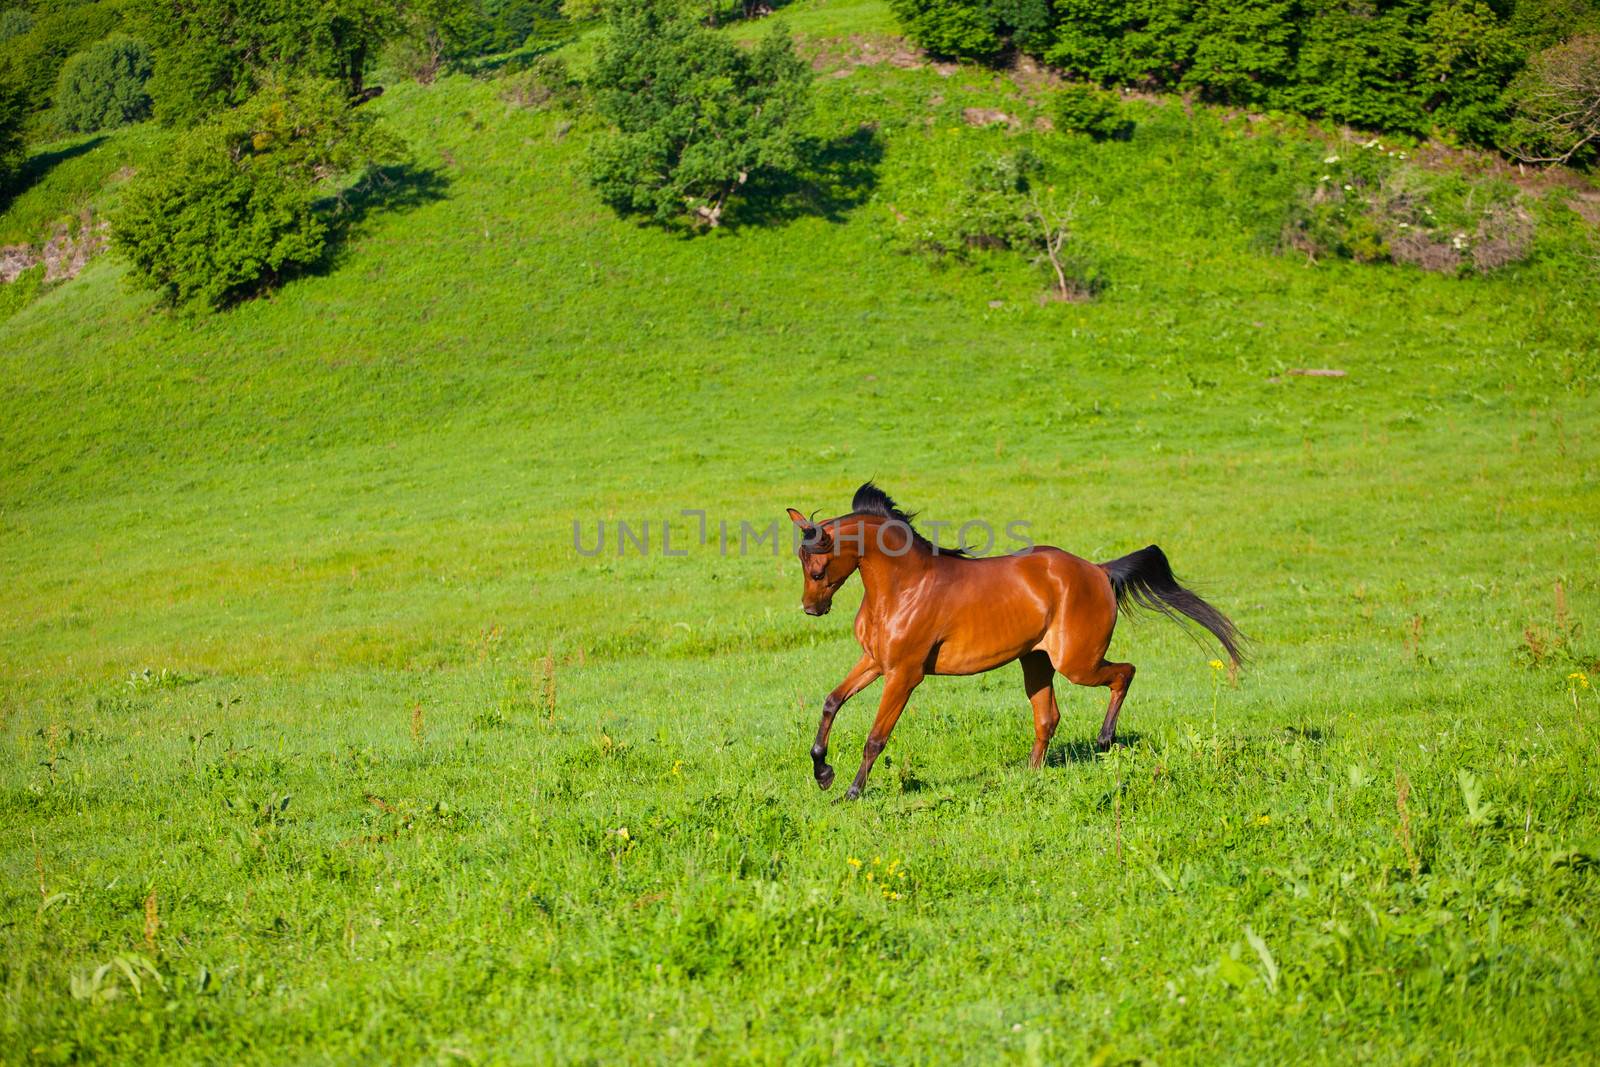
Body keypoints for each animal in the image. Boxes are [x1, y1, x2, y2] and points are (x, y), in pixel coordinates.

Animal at [787, 483, 1248, 799]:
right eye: (802, 562)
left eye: (817, 567)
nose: (811, 608)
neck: (904, 587)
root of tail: (1099, 571)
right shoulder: (873, 661)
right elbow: (831, 702)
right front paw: (823, 773)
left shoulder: (904, 674)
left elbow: (876, 737)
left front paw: (852, 792)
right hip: (1037, 661)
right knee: (1048, 718)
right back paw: (1030, 775)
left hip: (1077, 663)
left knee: (1125, 673)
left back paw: (1104, 742)